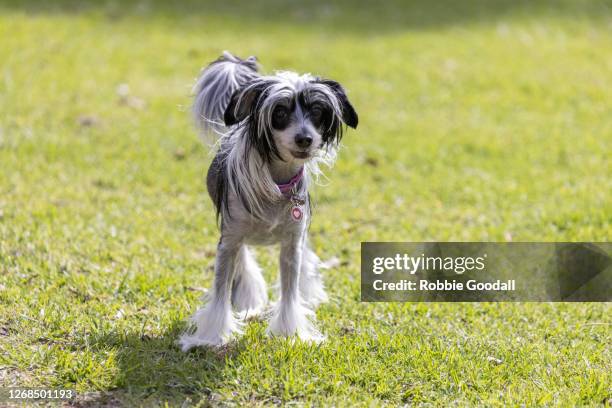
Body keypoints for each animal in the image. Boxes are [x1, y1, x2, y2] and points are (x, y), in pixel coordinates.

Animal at [179, 51, 356, 350]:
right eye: (280, 113)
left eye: (317, 112)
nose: (305, 139)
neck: (277, 183)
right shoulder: (229, 240)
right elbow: (221, 291)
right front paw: (212, 337)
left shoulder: (291, 245)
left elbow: (289, 293)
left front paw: (291, 333)